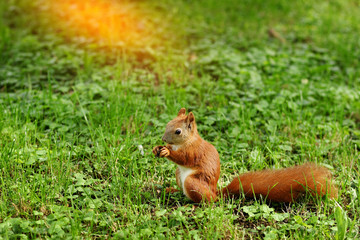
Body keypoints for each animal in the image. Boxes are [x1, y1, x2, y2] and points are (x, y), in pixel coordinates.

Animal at [152, 108, 338, 202]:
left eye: (178, 131)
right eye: (168, 123)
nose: (163, 138)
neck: (186, 141)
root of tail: (216, 192)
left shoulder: (194, 151)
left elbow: (183, 158)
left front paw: (167, 151)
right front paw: (157, 148)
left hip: (193, 183)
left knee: (209, 202)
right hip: (179, 175)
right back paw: (172, 191)